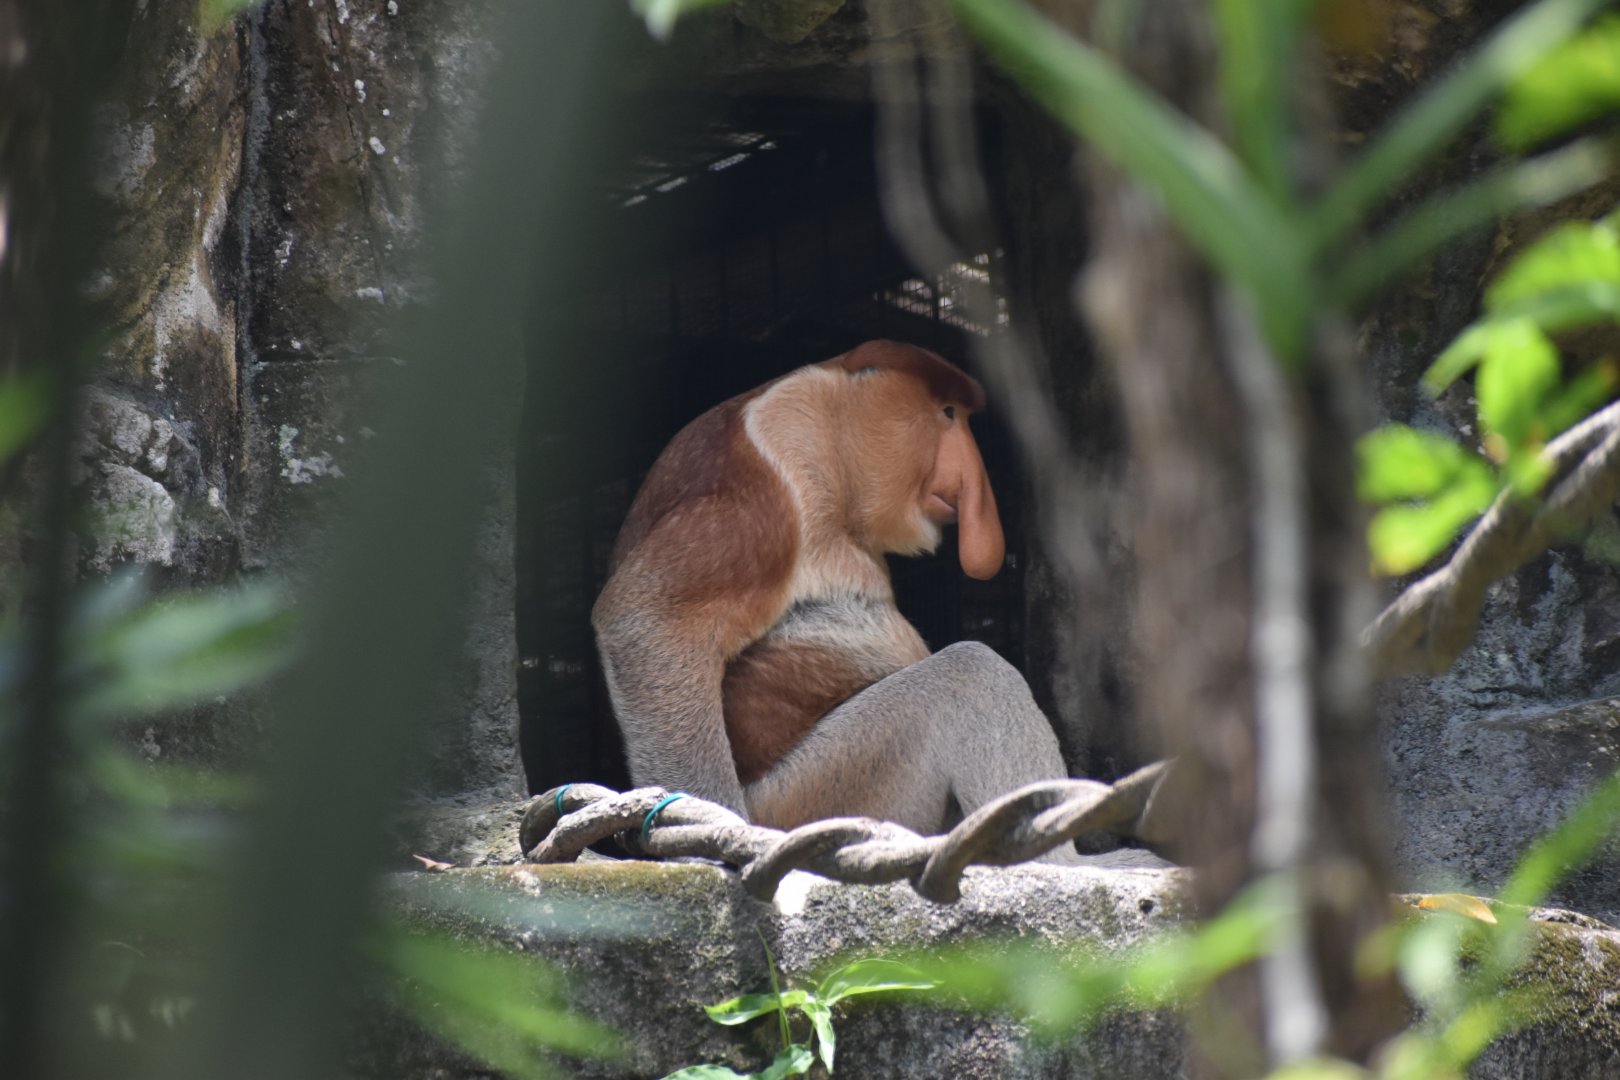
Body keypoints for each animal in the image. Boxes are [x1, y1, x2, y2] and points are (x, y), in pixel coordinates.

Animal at [592, 339, 1078, 847]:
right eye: (948, 413)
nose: (973, 482)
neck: (828, 438)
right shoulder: (764, 494)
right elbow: (645, 619)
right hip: (816, 792)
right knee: (970, 673)